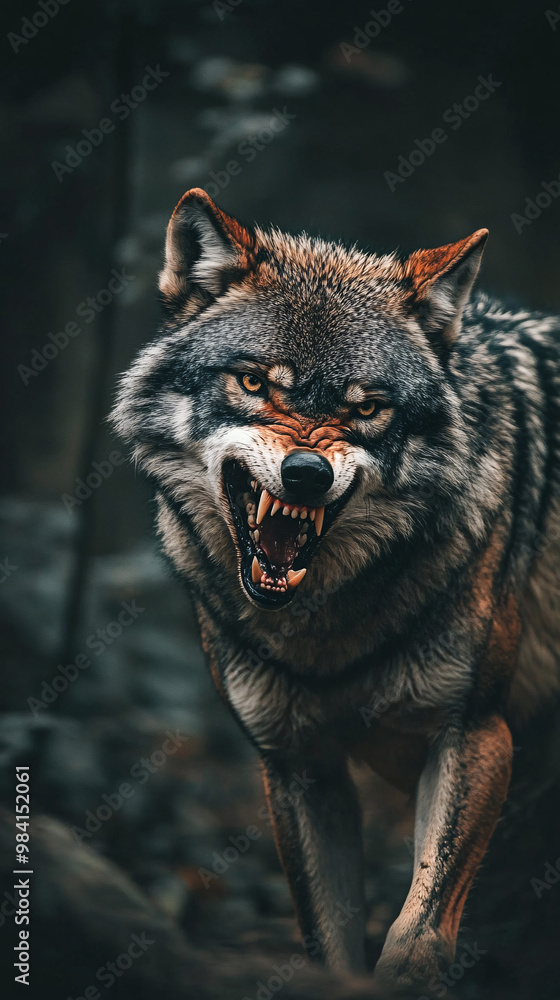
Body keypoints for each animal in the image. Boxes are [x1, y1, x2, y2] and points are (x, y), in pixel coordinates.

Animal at [111, 188, 560, 991]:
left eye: (367, 407)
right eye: (254, 382)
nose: (305, 476)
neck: (326, 628)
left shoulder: (476, 734)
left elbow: (418, 934)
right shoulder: (298, 767)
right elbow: (329, 943)